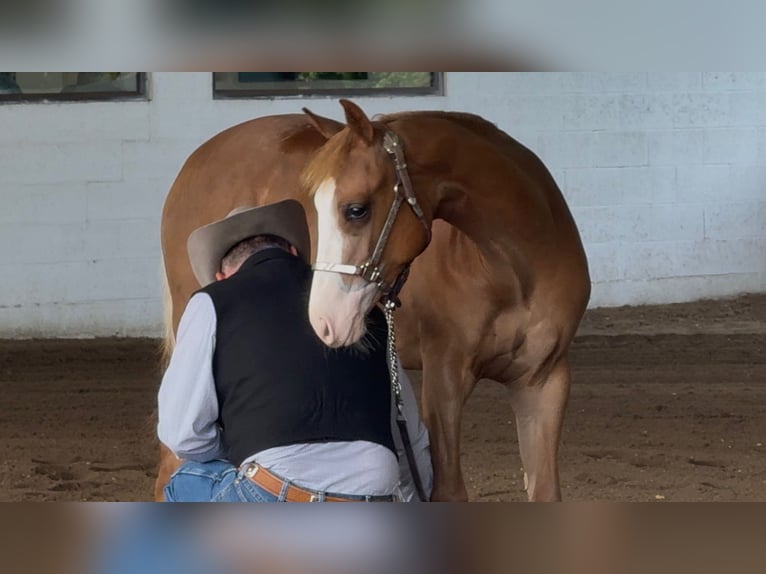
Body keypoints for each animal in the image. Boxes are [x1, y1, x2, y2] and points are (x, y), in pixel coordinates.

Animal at [156, 102, 590, 501]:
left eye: (356, 209)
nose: (323, 321)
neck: (514, 271)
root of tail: (196, 161)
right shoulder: (445, 379)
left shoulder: (543, 383)